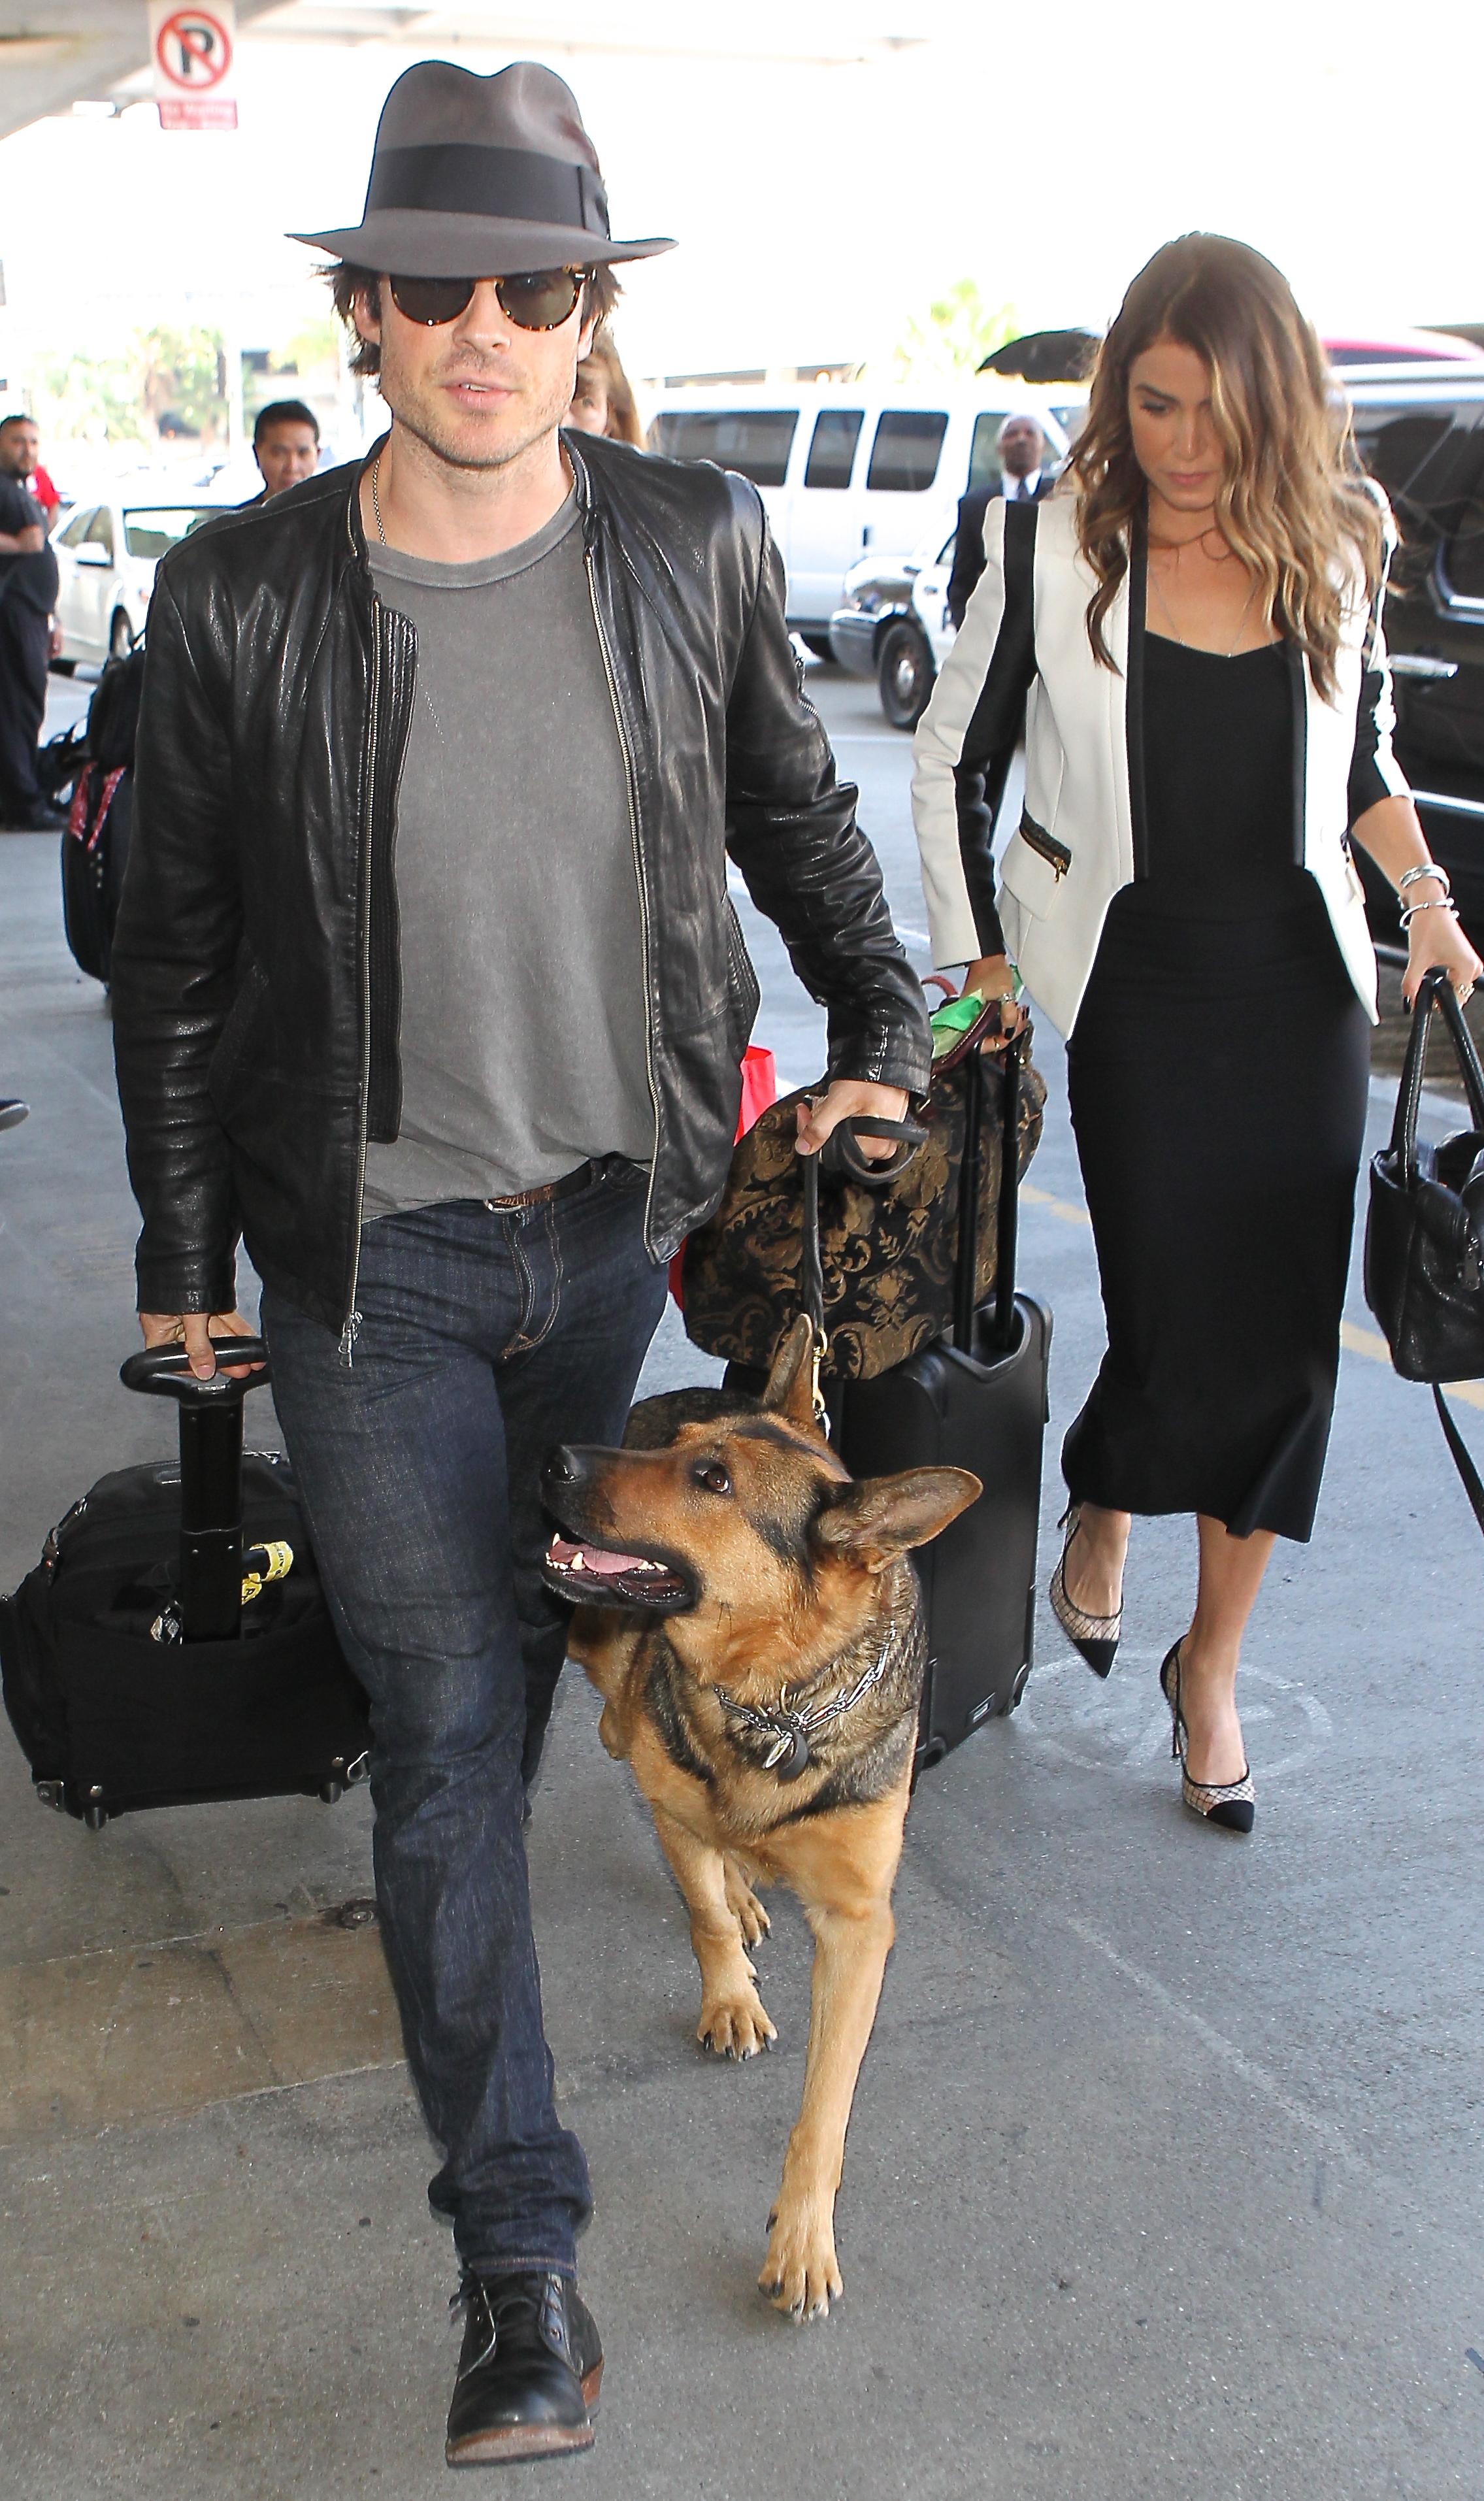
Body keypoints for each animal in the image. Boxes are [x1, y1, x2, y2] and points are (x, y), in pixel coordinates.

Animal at [538, 1320, 976, 2311]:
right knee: (623, 1733)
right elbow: (700, 1909)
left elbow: (825, 2105)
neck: (774, 1697)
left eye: (712, 1478)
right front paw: (729, 1987)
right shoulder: (674, 1799)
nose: (555, 1456)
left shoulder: (858, 1924)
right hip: (602, 1662)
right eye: (676, 1448)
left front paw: (804, 2232)